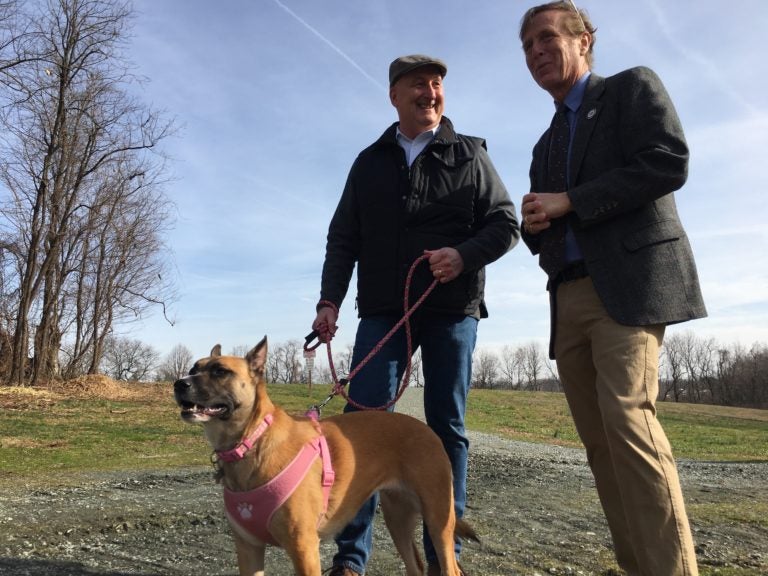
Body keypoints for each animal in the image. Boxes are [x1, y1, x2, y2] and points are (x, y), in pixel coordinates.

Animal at [175, 338, 476, 576]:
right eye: (193, 369)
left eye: (220, 371)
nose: (179, 383)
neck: (251, 440)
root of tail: (427, 430)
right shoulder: (249, 549)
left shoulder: (304, 548)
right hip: (398, 520)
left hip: (438, 519)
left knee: (449, 565)